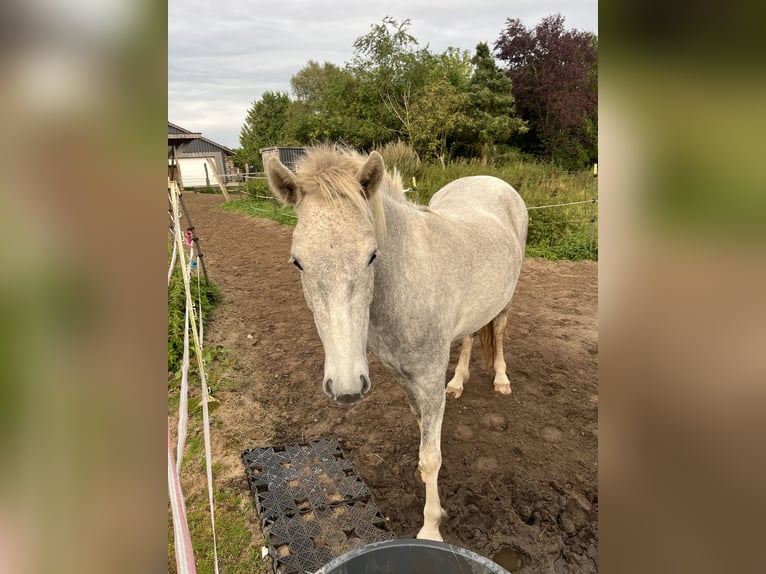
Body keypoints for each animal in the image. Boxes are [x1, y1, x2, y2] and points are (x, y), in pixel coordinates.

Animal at [266, 145, 528, 541]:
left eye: (372, 256)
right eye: (297, 262)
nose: (346, 388)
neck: (406, 283)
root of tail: (492, 180)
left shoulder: (429, 379)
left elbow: (431, 456)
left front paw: (431, 527)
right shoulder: (406, 379)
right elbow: (422, 437)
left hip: (505, 299)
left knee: (497, 330)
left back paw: (500, 380)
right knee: (469, 337)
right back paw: (458, 382)